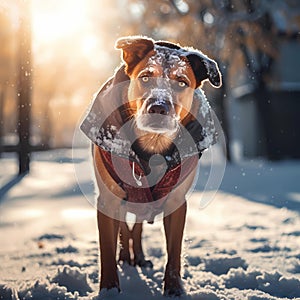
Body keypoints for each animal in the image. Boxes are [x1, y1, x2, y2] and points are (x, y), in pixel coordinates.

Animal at [81, 36, 221, 296]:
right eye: (145, 77)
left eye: (181, 82)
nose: (158, 107)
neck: (153, 145)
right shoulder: (108, 200)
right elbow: (107, 249)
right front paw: (109, 289)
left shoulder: (177, 203)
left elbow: (174, 252)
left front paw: (174, 289)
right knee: (125, 229)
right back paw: (126, 257)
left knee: (136, 228)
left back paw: (139, 257)